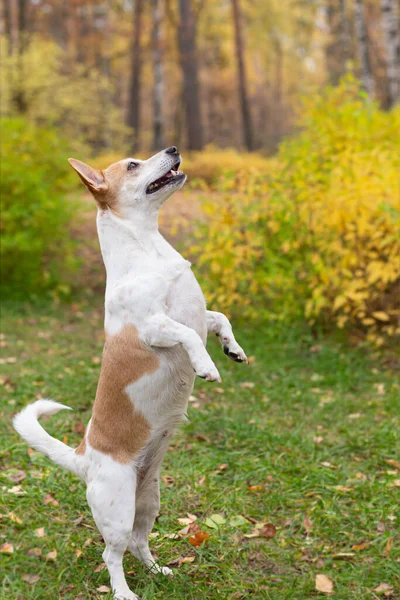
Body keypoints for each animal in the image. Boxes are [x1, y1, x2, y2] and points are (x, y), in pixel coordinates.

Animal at [13, 146, 247, 600]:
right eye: (133, 165)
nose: (173, 149)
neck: (149, 249)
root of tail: (83, 457)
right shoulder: (154, 327)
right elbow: (188, 336)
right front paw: (207, 366)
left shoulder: (201, 316)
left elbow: (218, 319)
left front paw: (233, 349)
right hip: (118, 509)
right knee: (112, 554)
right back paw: (123, 592)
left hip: (149, 501)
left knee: (140, 543)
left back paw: (158, 571)